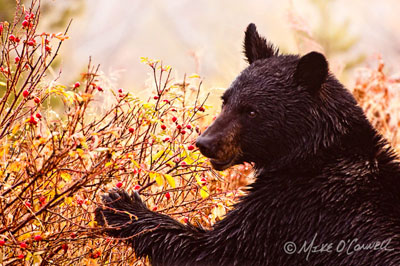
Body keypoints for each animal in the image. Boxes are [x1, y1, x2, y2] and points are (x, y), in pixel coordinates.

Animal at [95, 23, 400, 264]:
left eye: (252, 111)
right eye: (226, 100)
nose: (205, 142)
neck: (311, 154)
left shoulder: (289, 210)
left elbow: (214, 251)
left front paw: (119, 205)